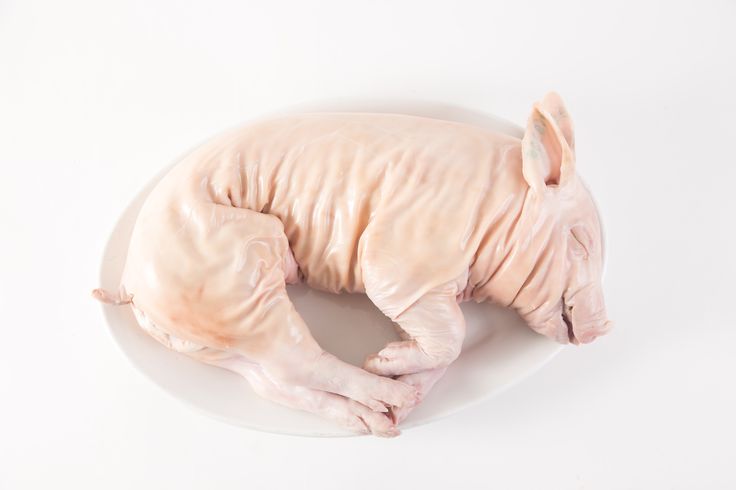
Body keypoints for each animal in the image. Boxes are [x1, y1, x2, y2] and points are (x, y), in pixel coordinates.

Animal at [93, 92, 612, 437]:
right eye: (580, 242)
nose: (603, 329)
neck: (497, 214)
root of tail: (129, 284)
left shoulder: (419, 297)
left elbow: (446, 346)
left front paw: (398, 375)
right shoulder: (399, 262)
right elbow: (454, 336)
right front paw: (387, 366)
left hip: (208, 335)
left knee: (271, 379)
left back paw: (382, 418)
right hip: (233, 281)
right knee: (299, 361)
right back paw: (386, 400)